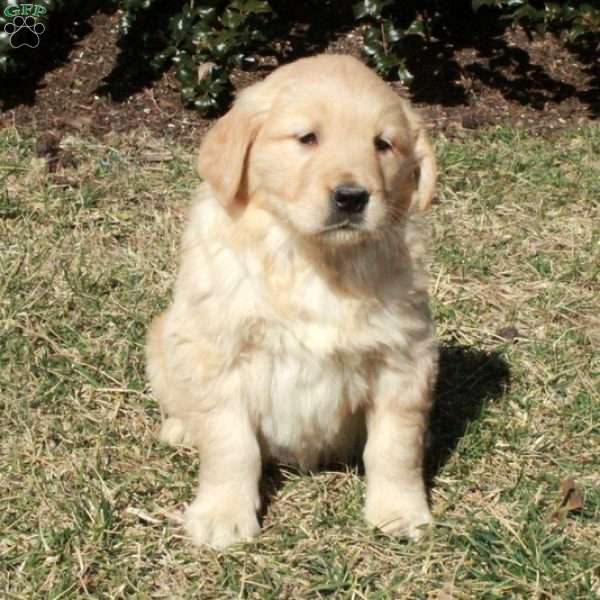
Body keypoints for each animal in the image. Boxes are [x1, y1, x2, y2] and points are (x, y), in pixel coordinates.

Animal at [145, 52, 436, 548]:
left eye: (383, 145)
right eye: (307, 138)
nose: (352, 198)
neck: (314, 260)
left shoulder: (404, 357)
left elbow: (395, 445)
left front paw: (399, 510)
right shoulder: (219, 355)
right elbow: (231, 444)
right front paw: (223, 515)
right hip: (164, 338)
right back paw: (183, 427)